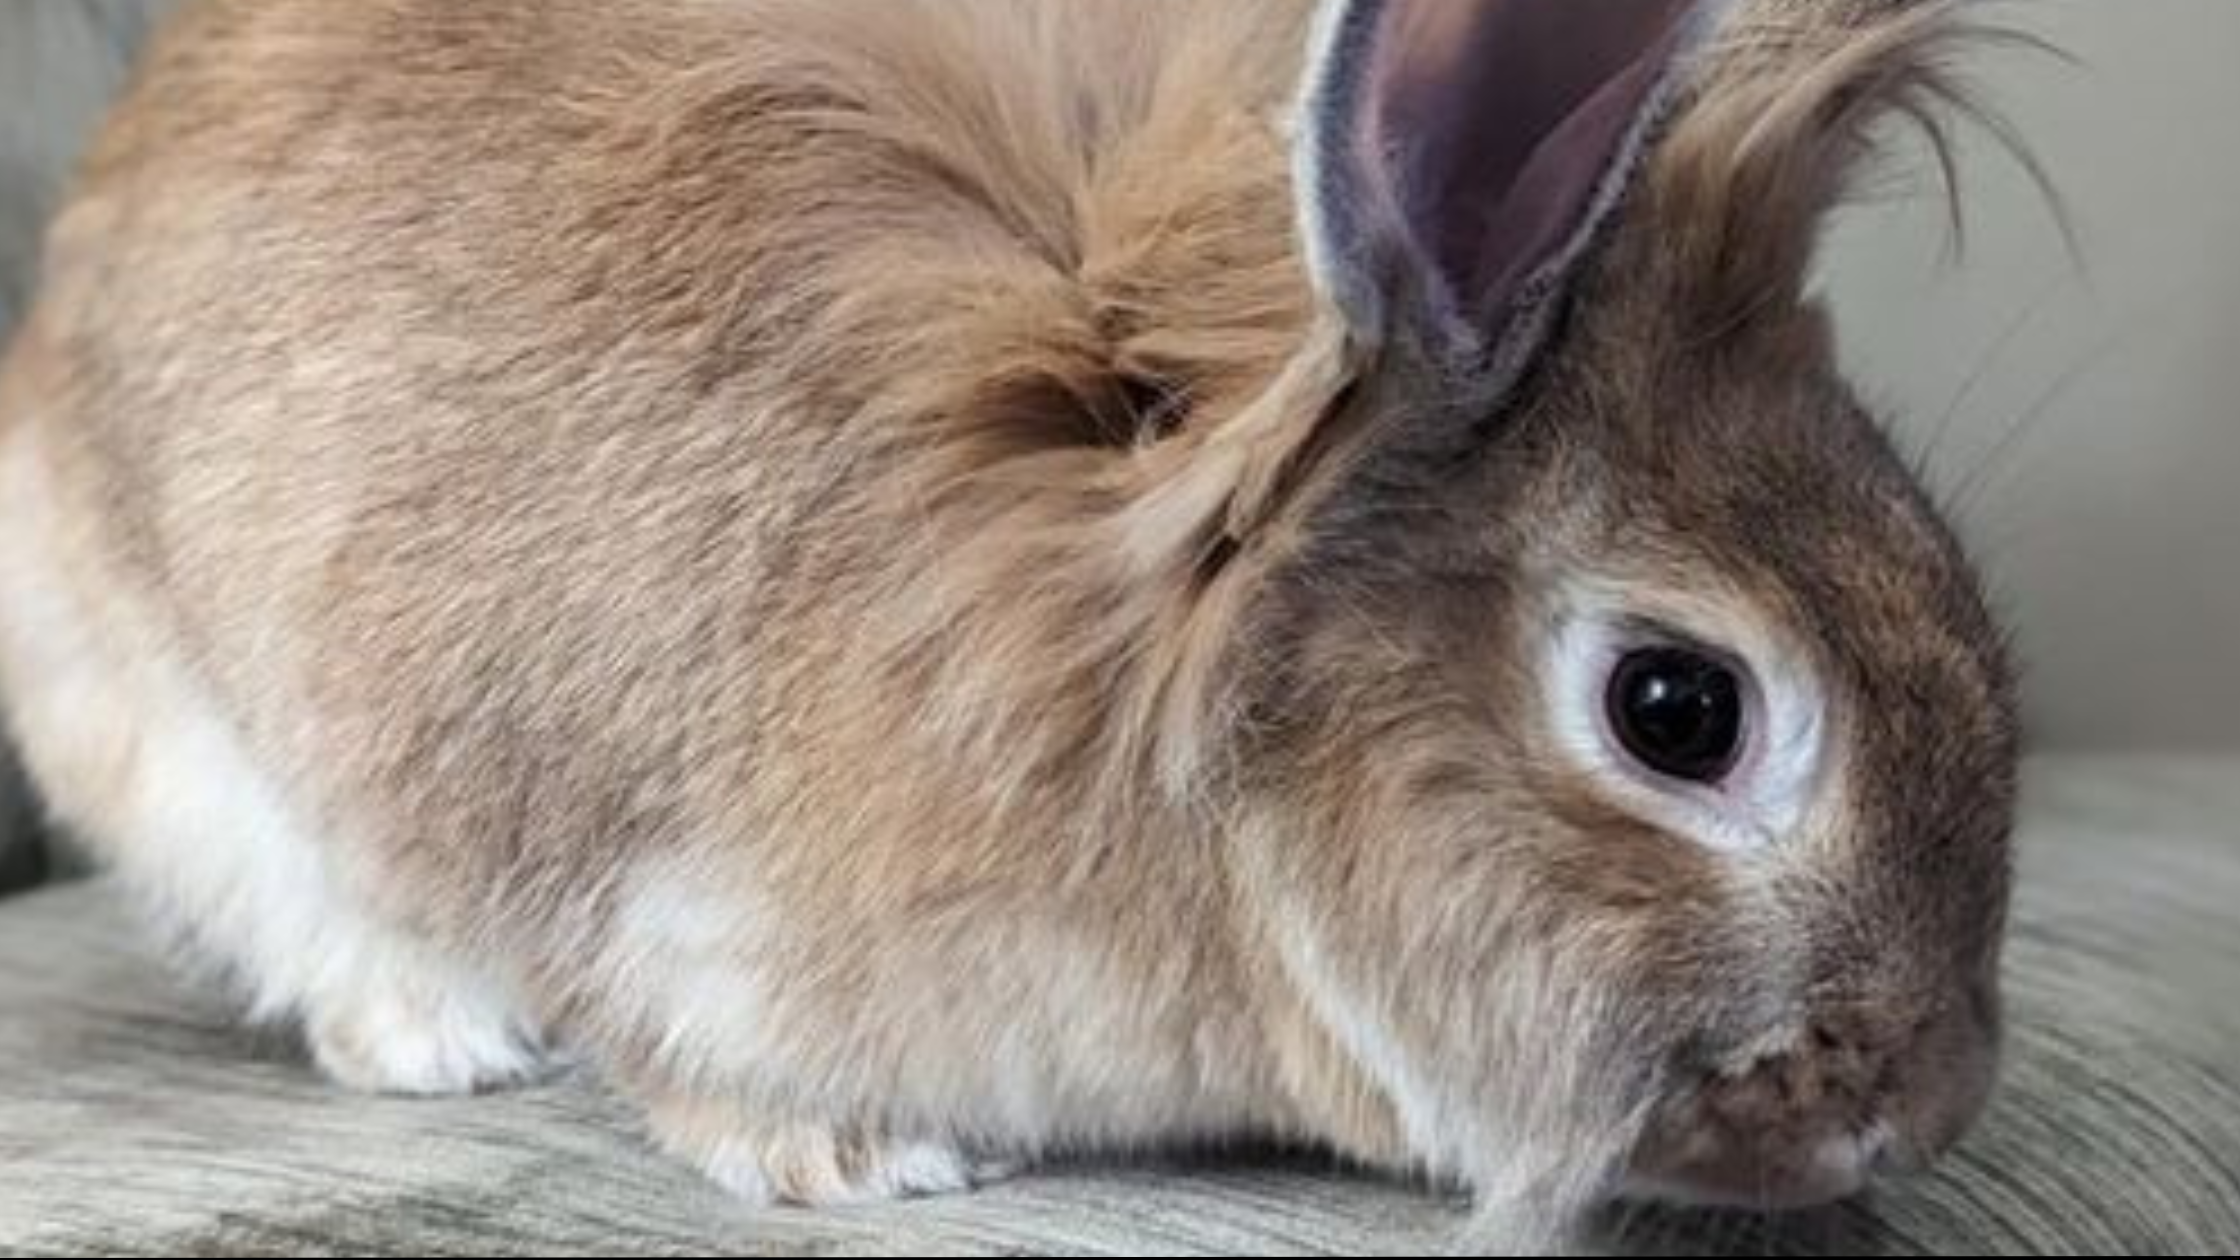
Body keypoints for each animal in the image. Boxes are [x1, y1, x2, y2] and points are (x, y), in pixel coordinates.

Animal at [0, 0, 2024, 1244]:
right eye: (1679, 708)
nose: (1933, 1101)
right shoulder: (679, 915)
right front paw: (864, 1164)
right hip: (167, 736)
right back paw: (446, 1040)